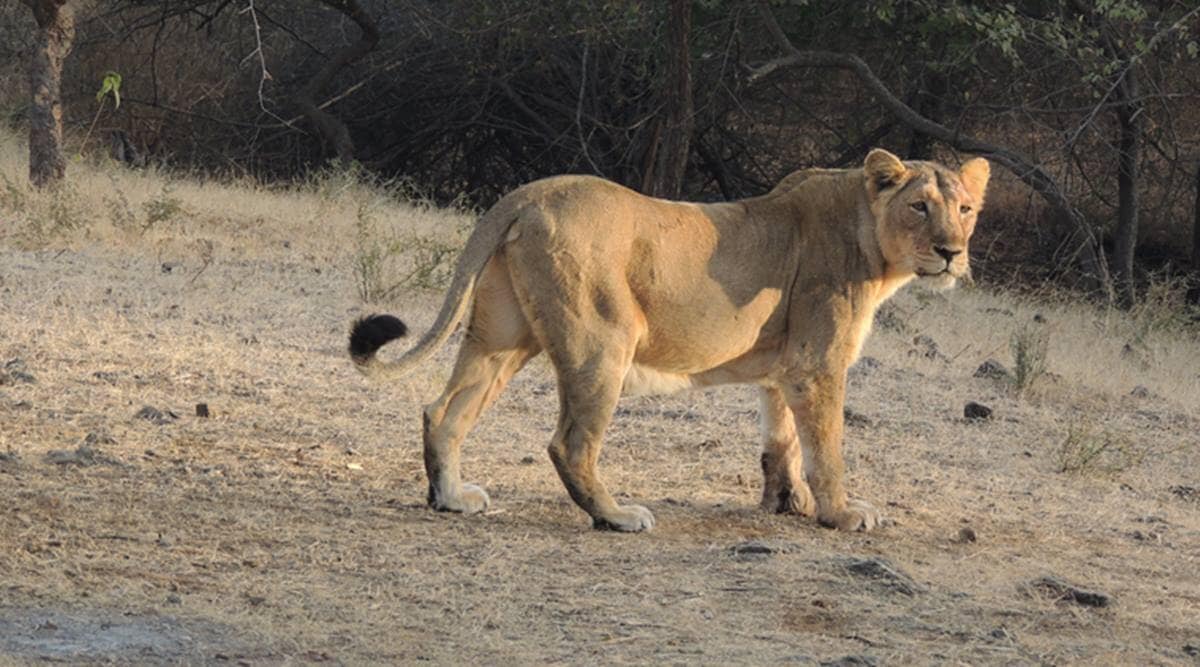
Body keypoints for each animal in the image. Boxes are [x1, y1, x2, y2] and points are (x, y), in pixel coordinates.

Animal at [349, 148, 990, 532]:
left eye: (965, 209)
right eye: (918, 207)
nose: (951, 252)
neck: (870, 238)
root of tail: (530, 193)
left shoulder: (784, 368)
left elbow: (781, 443)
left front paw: (786, 505)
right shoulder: (818, 364)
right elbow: (826, 449)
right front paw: (839, 513)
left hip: (501, 336)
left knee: (442, 412)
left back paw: (451, 498)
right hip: (603, 341)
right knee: (569, 444)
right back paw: (615, 516)